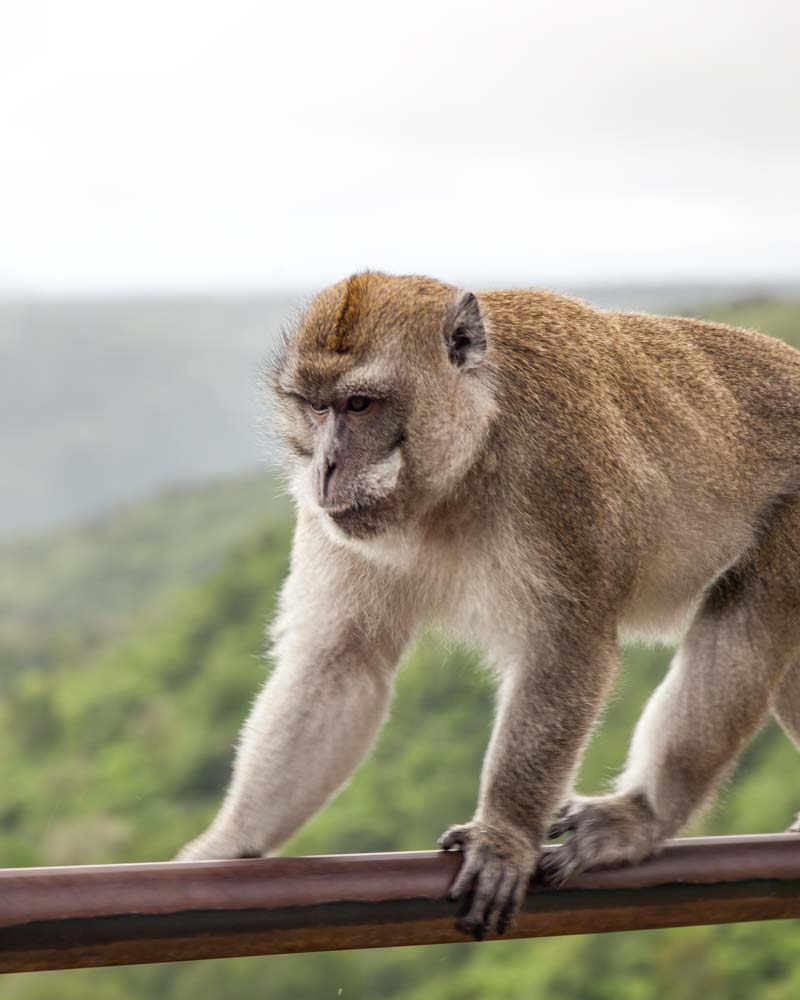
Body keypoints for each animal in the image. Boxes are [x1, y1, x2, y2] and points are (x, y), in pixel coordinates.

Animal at [178, 272, 800, 936]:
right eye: (317, 408)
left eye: (360, 406)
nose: (325, 467)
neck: (470, 452)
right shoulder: (336, 525)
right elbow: (337, 665)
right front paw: (228, 843)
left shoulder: (560, 475)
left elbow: (565, 653)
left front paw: (503, 835)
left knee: (744, 629)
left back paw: (643, 817)